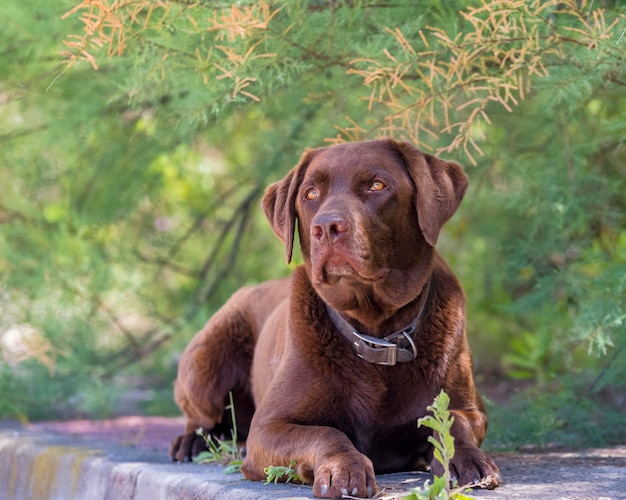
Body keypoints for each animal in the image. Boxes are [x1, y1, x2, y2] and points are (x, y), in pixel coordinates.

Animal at [168, 137, 500, 496]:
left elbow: (454, 423)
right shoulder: (268, 427)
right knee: (201, 418)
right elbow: (327, 432)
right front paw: (343, 468)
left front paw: (465, 459)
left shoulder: (471, 408)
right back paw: (190, 443)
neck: (374, 331)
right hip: (205, 366)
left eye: (376, 185)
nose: (326, 226)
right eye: (310, 194)